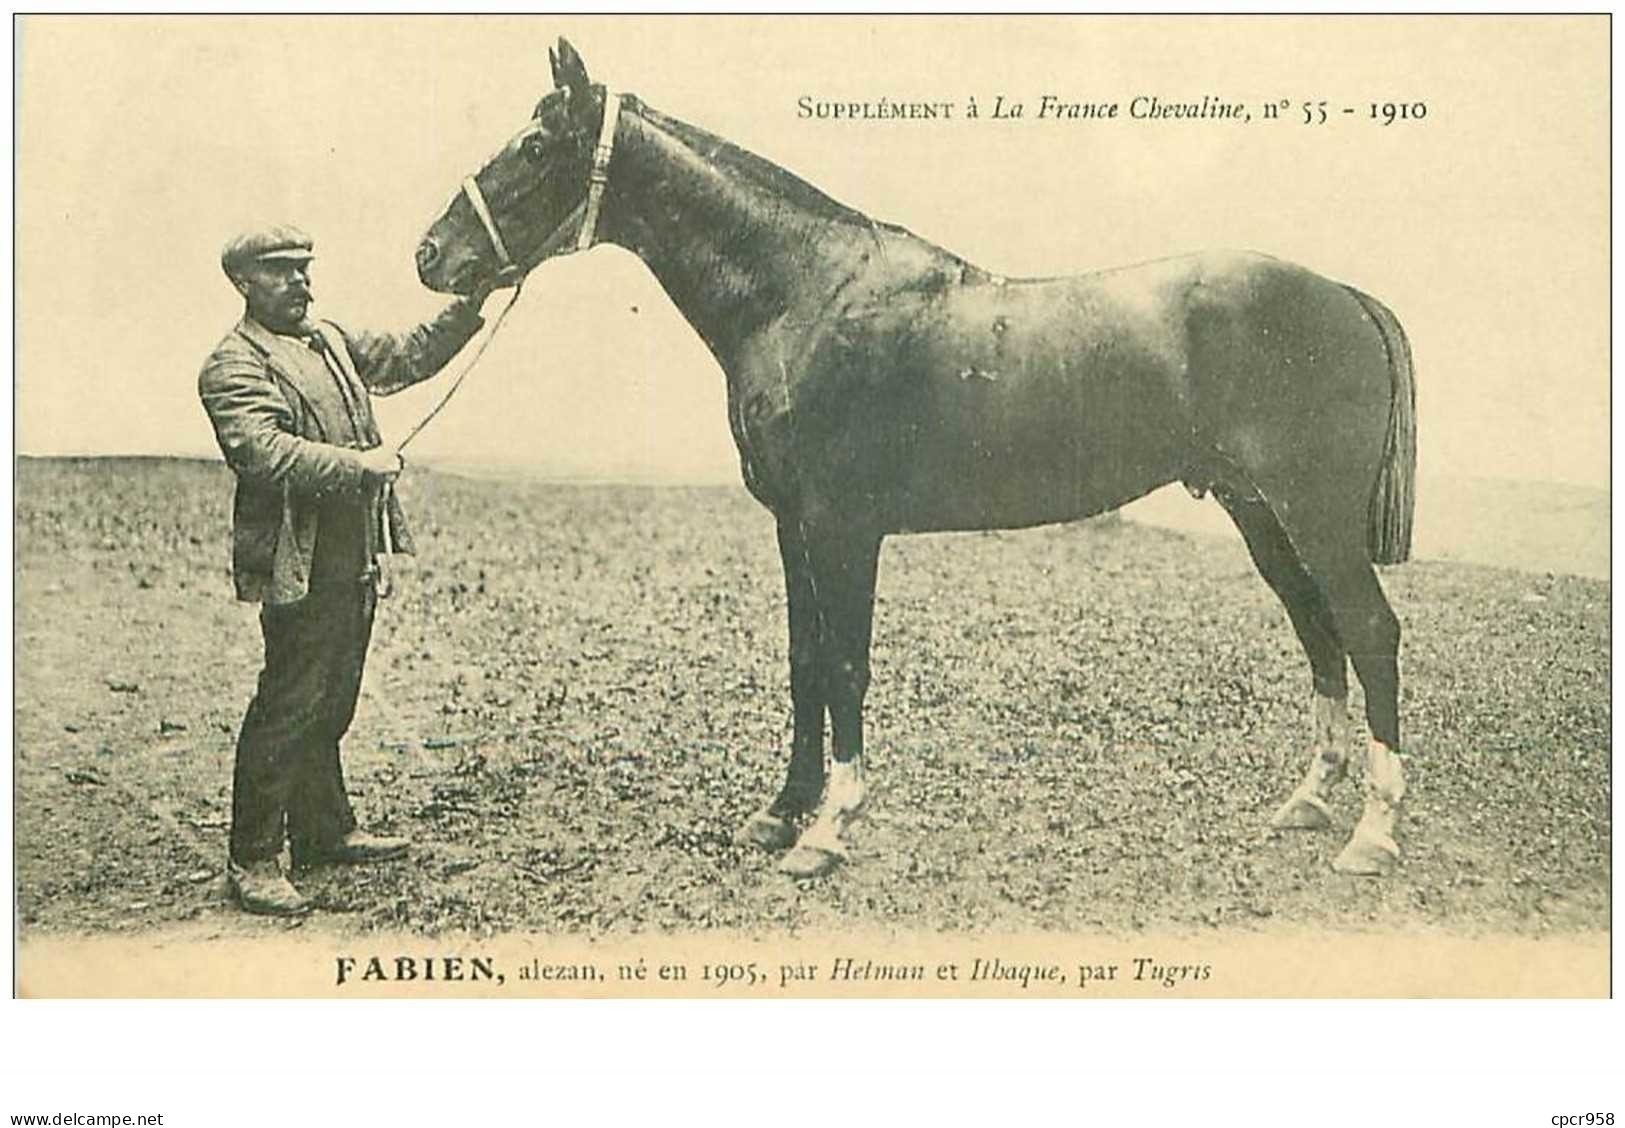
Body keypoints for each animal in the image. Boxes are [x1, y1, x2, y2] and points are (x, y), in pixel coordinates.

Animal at [412, 42, 1417, 884]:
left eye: (536, 144)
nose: (430, 255)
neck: (802, 296)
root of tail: (1343, 297)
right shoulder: (792, 526)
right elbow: (804, 661)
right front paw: (780, 813)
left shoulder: (844, 528)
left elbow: (846, 665)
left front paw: (827, 829)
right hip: (1261, 514)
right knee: (1318, 631)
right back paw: (1306, 802)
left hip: (1311, 515)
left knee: (1368, 631)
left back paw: (1371, 834)